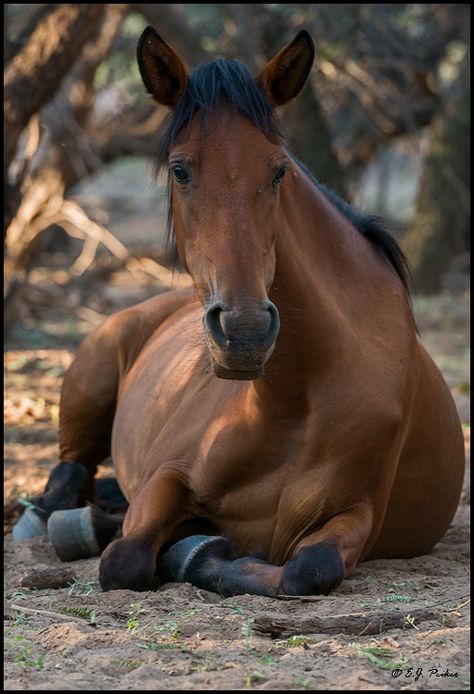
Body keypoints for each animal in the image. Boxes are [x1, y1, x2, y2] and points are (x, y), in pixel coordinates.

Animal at [13, 27, 462, 600]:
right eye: (180, 170)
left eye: (279, 170)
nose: (245, 332)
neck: (294, 397)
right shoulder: (167, 475)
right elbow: (125, 561)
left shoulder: (355, 515)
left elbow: (307, 570)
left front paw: (194, 550)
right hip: (88, 382)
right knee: (67, 478)